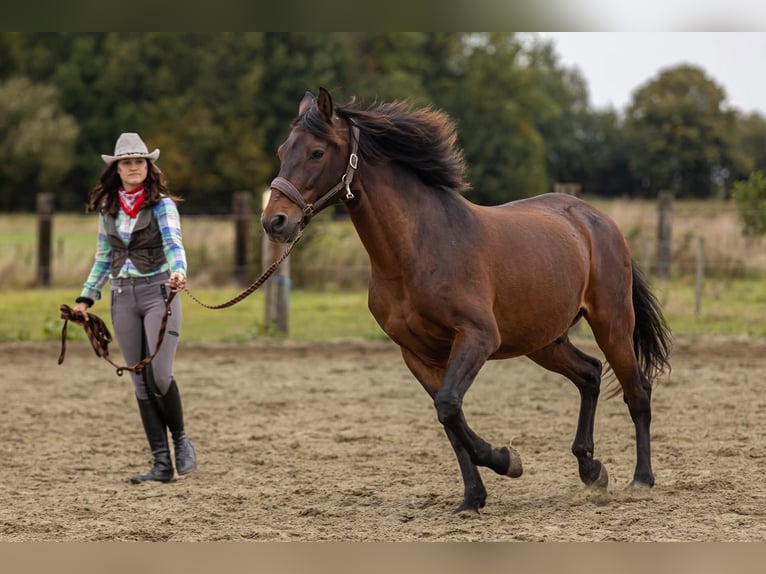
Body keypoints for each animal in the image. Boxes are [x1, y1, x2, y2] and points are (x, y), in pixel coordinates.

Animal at [261, 87, 672, 514]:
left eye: (316, 152)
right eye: (282, 150)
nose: (274, 222)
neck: (417, 250)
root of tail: (598, 220)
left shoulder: (478, 337)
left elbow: (448, 406)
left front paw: (506, 461)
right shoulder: (418, 353)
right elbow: (450, 419)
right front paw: (474, 496)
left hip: (611, 323)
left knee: (637, 391)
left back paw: (641, 480)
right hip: (542, 340)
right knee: (590, 374)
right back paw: (591, 470)